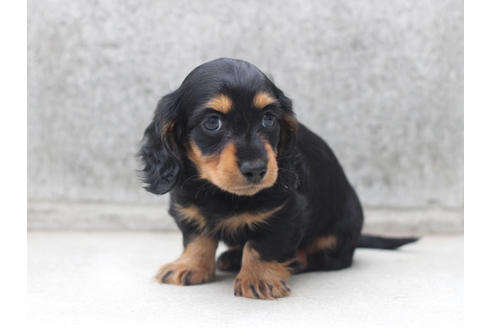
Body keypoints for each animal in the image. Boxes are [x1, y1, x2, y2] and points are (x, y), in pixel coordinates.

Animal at [137, 57, 416, 298]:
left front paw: (259, 278)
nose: (256, 169)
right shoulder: (189, 209)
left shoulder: (285, 214)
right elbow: (197, 239)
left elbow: (262, 247)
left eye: (269, 118)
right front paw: (188, 266)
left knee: (331, 257)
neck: (224, 195)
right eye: (213, 122)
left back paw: (295, 260)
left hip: (340, 230)